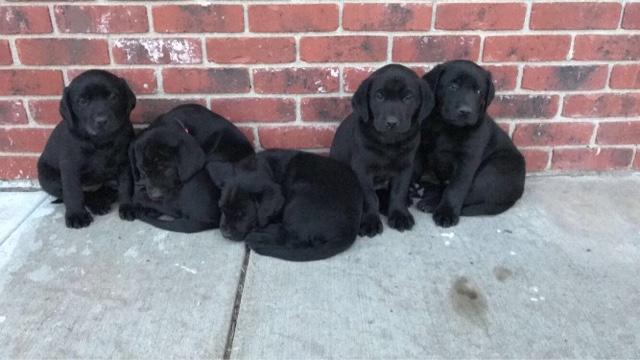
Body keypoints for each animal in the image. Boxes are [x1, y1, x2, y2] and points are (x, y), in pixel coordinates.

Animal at [37, 69, 136, 228]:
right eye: (82, 102)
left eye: (113, 97)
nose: (101, 121)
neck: (100, 141)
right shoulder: (70, 167)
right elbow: (72, 192)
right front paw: (76, 215)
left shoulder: (124, 161)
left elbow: (126, 185)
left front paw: (128, 206)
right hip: (48, 178)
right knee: (78, 194)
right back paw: (98, 204)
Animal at [216, 149, 362, 262]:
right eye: (222, 209)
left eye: (243, 214)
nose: (225, 233)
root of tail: (349, 231)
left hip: (300, 198)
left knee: (293, 238)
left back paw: (258, 236)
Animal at [330, 64, 436, 236]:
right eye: (379, 96)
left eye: (408, 97)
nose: (391, 122)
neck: (389, 141)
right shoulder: (362, 169)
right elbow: (370, 196)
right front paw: (370, 221)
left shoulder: (405, 167)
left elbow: (399, 192)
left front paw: (399, 215)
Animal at [416, 60, 524, 226]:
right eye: (453, 86)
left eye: (478, 91)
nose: (465, 111)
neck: (447, 127)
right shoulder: (422, 148)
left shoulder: (467, 162)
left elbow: (456, 188)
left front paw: (446, 213)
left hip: (492, 170)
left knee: (471, 194)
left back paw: (430, 203)